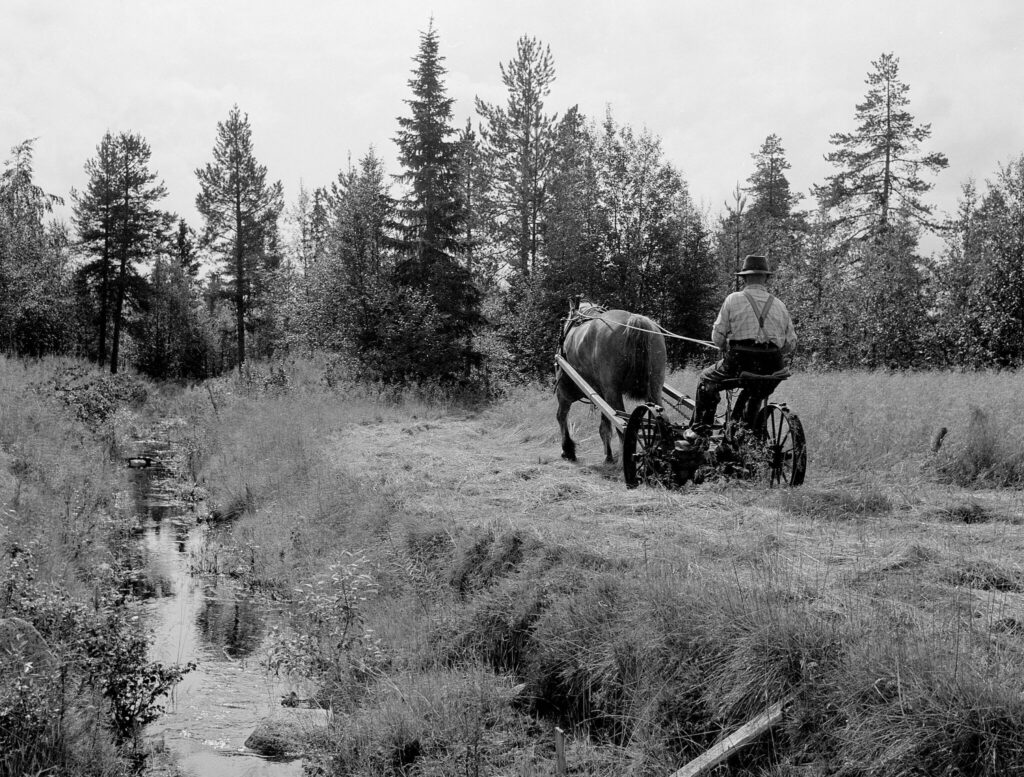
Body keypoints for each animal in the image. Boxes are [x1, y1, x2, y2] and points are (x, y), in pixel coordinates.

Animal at [557, 298, 667, 464]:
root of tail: (633, 319)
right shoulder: (600, 394)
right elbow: (604, 425)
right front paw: (608, 455)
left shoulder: (565, 389)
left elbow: (561, 416)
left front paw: (568, 450)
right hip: (654, 386)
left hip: (612, 392)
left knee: (622, 423)